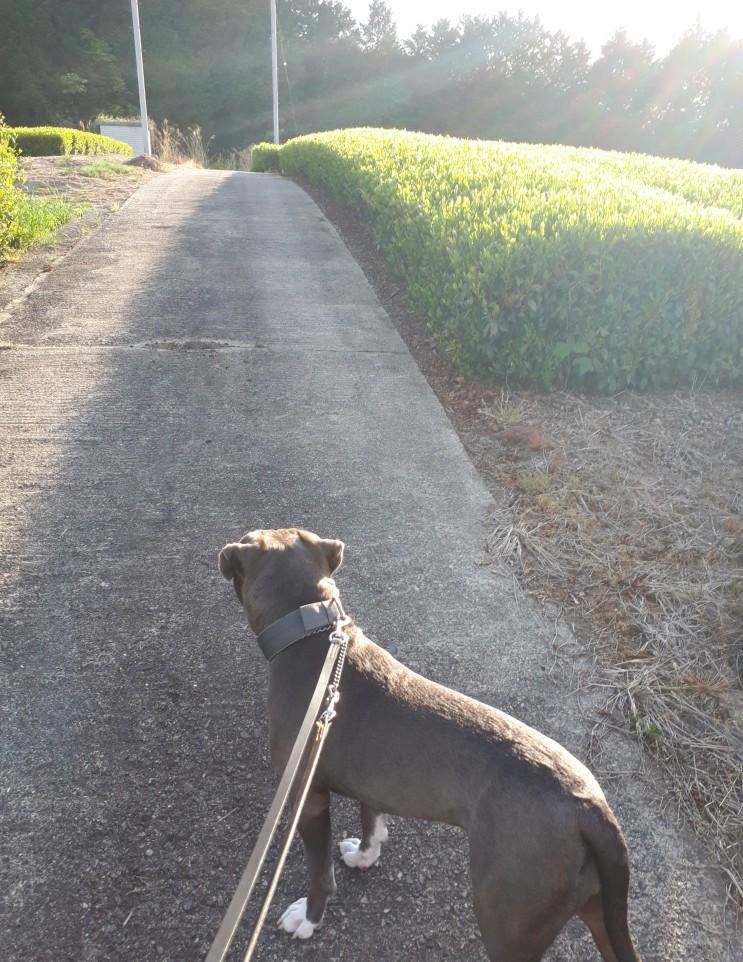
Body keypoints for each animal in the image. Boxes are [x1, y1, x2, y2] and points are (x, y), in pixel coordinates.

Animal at [219, 527, 641, 962]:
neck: (312, 633)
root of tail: (589, 808)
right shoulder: (373, 779)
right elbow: (372, 819)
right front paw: (365, 855)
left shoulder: (308, 794)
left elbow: (319, 870)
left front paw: (309, 918)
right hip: (596, 909)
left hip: (509, 920)